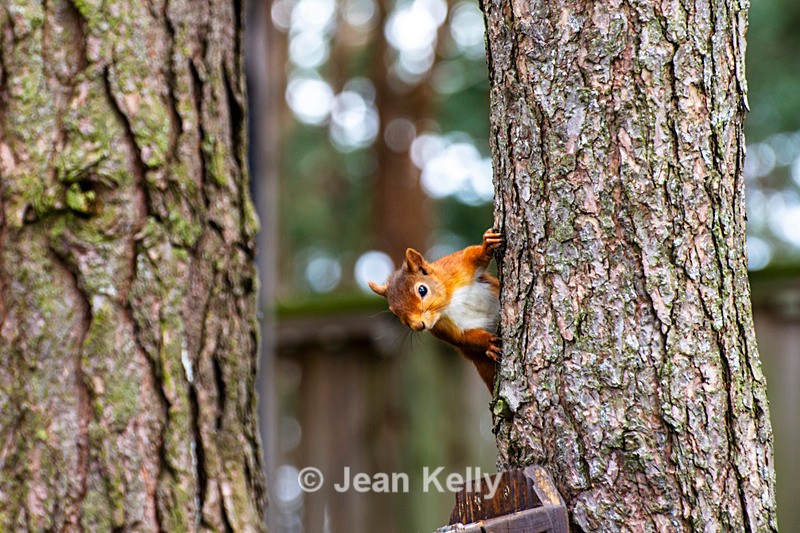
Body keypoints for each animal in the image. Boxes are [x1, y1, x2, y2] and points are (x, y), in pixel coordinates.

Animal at [368, 229, 503, 391]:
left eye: (422, 290)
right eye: (394, 314)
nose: (419, 326)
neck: (447, 303)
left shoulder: (455, 266)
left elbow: (472, 255)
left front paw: (486, 245)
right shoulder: (442, 329)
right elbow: (464, 337)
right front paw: (489, 342)